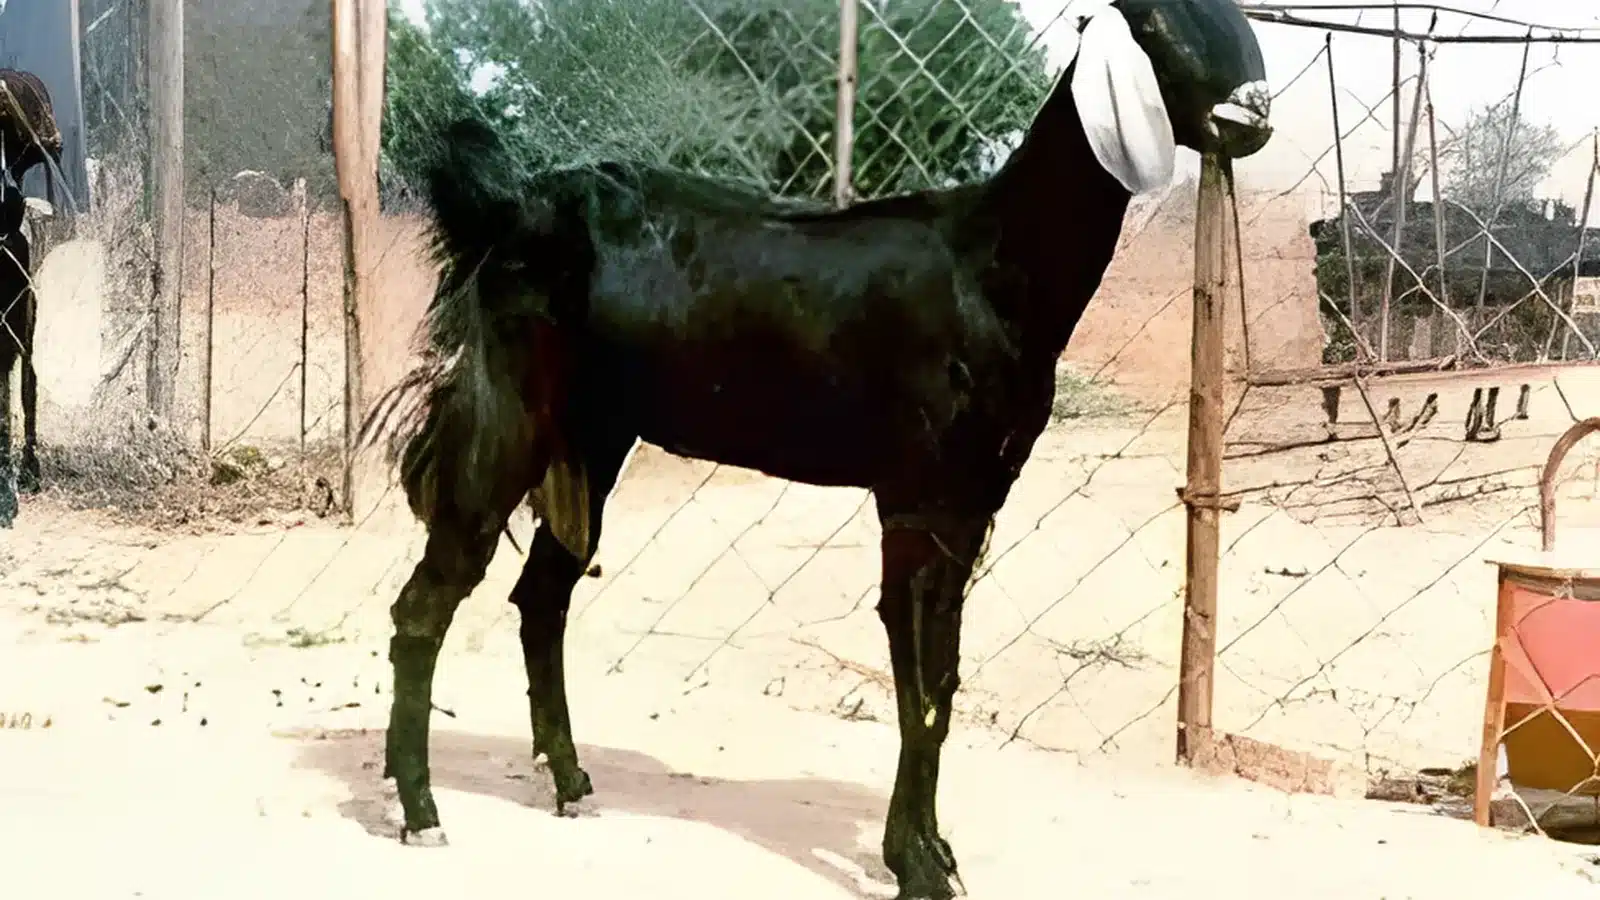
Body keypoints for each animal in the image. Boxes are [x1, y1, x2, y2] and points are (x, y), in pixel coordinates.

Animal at [366, 1, 1272, 895]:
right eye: (1154, 24)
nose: (1254, 115)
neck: (995, 265)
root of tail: (509, 207)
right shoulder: (920, 494)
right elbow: (922, 684)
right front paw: (918, 866)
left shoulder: (975, 497)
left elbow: (942, 676)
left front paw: (932, 851)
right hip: (509, 412)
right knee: (427, 602)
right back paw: (420, 810)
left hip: (594, 437)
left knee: (541, 597)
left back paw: (570, 782)